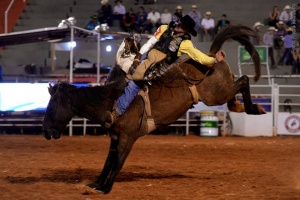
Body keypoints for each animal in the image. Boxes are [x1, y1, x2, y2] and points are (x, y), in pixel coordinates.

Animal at [41, 24, 264, 194]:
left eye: (52, 106)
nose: (45, 131)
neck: (110, 102)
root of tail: (210, 56)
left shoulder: (128, 137)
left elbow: (117, 162)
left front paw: (105, 188)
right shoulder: (115, 138)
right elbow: (108, 162)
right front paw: (96, 184)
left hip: (215, 95)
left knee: (244, 80)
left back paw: (255, 108)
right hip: (219, 93)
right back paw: (241, 106)